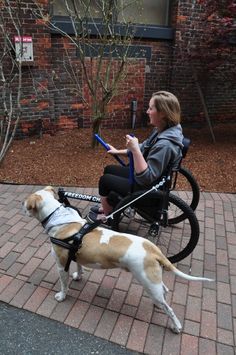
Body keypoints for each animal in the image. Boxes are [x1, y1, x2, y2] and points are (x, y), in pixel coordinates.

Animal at [23, 186, 213, 334]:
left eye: (26, 202)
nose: (20, 205)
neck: (60, 219)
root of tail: (153, 250)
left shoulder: (61, 265)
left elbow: (64, 284)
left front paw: (62, 296)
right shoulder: (75, 254)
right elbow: (79, 266)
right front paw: (78, 276)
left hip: (148, 281)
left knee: (170, 309)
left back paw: (176, 326)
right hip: (152, 279)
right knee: (164, 291)